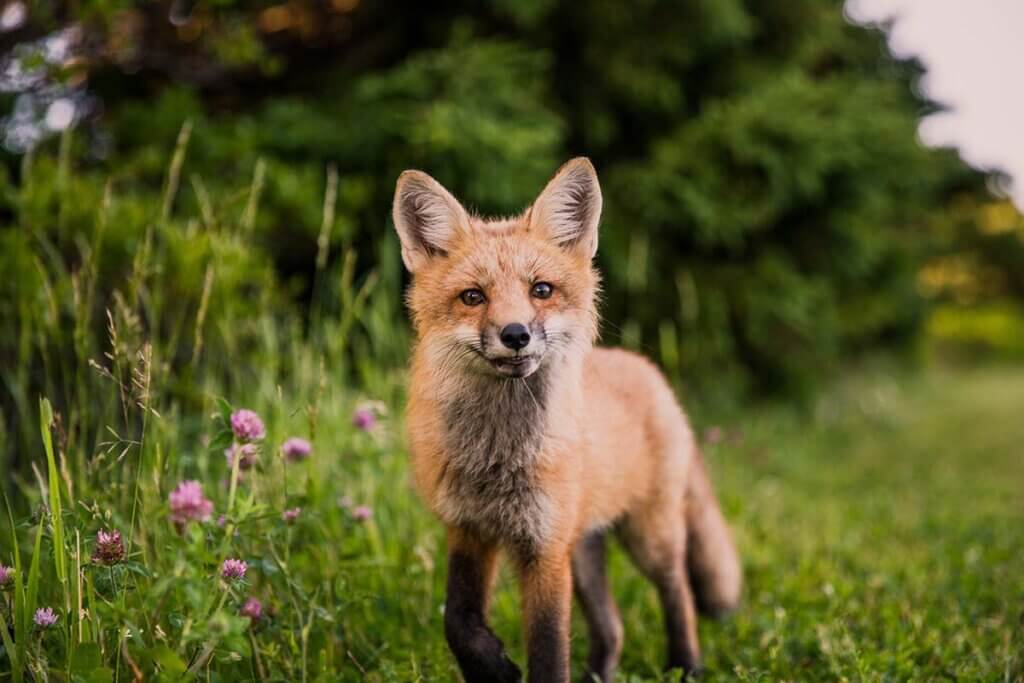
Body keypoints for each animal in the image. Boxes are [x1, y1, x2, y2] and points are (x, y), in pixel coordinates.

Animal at [392, 158, 742, 682]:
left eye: (541, 290)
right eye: (473, 297)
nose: (515, 334)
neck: (498, 458)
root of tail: (648, 370)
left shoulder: (545, 547)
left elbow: (549, 649)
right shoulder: (469, 529)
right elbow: (458, 621)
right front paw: (493, 668)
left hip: (648, 535)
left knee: (677, 589)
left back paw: (686, 665)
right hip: (585, 549)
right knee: (614, 627)